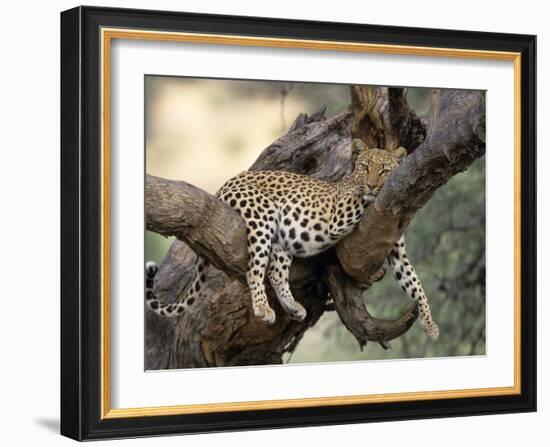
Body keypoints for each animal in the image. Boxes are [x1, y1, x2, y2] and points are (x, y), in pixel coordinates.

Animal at [144, 140, 442, 340]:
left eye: (384, 171)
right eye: (365, 168)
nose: (372, 185)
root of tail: (227, 182)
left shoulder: (397, 253)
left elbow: (416, 285)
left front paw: (429, 324)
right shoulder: (339, 213)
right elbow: (359, 198)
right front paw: (366, 191)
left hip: (282, 239)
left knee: (275, 272)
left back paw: (294, 307)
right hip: (261, 216)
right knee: (255, 269)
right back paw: (263, 308)